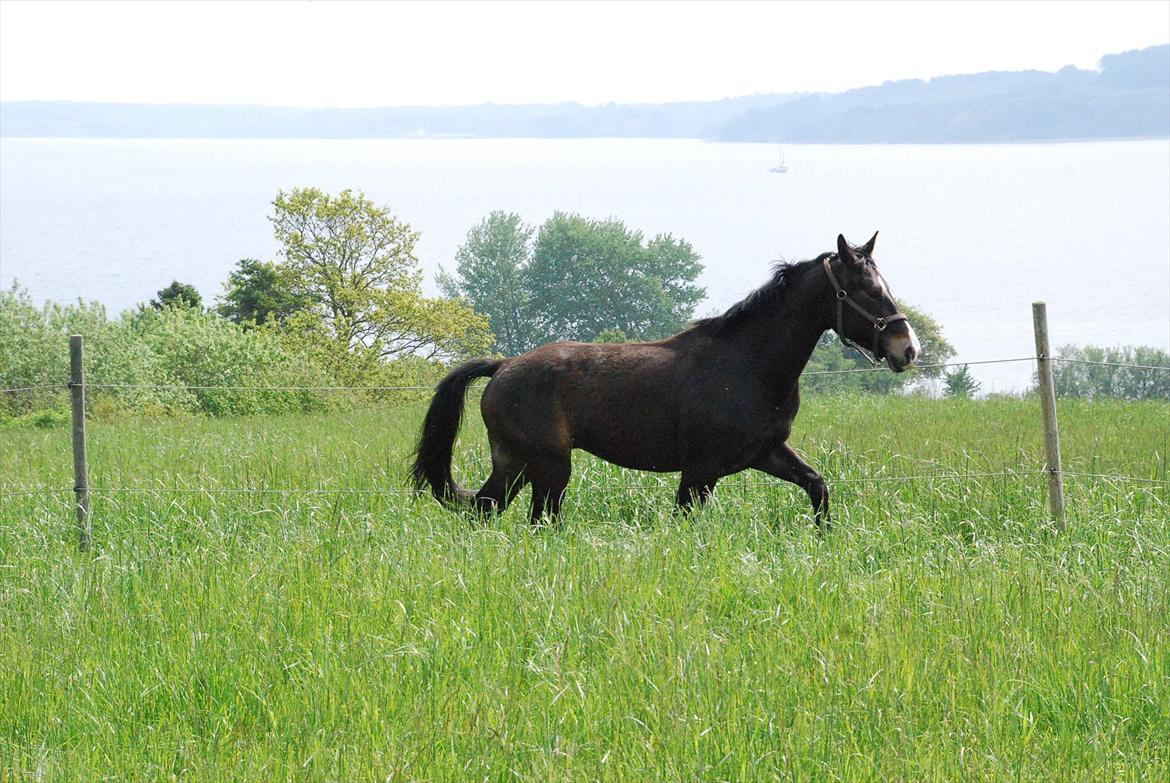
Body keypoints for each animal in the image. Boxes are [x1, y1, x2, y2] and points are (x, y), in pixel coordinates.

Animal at [416, 230, 917, 524]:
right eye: (868, 290)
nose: (907, 348)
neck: (746, 364)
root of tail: (503, 366)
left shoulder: (766, 453)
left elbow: (818, 486)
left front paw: (821, 537)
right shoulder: (700, 471)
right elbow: (684, 523)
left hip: (515, 462)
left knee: (485, 509)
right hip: (549, 466)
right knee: (539, 520)